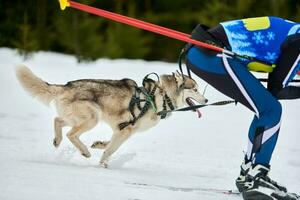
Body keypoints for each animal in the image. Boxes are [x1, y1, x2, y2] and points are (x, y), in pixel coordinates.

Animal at [15, 65, 206, 167]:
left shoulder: (121, 128)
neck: (161, 96)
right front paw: (103, 164)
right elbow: (112, 148)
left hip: (77, 117)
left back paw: (57, 140)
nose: (206, 100)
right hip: (92, 118)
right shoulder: (127, 130)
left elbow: (108, 144)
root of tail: (66, 85)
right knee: (71, 134)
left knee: (58, 121)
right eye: (195, 89)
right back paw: (84, 151)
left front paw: (98, 145)